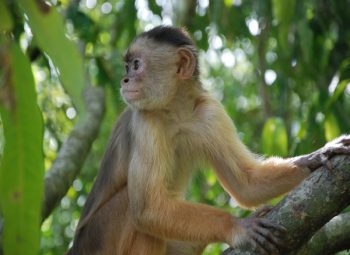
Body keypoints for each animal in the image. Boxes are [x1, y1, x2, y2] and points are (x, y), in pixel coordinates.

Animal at [67, 26, 350, 255]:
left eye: (135, 65)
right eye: (128, 67)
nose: (124, 79)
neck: (175, 112)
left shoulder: (210, 112)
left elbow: (247, 186)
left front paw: (316, 157)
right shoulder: (145, 120)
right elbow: (147, 208)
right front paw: (236, 226)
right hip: (99, 240)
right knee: (132, 205)